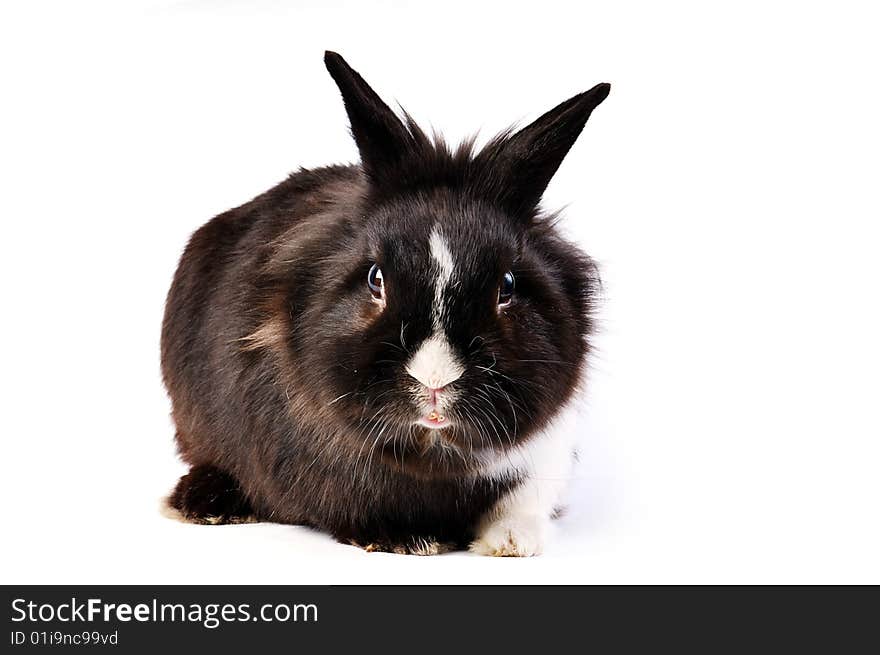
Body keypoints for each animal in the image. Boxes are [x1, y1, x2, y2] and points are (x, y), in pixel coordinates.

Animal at [162, 51, 608, 556]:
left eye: (507, 286)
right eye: (376, 279)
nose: (434, 381)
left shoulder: (547, 448)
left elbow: (523, 498)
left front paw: (512, 541)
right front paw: (405, 539)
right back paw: (205, 503)